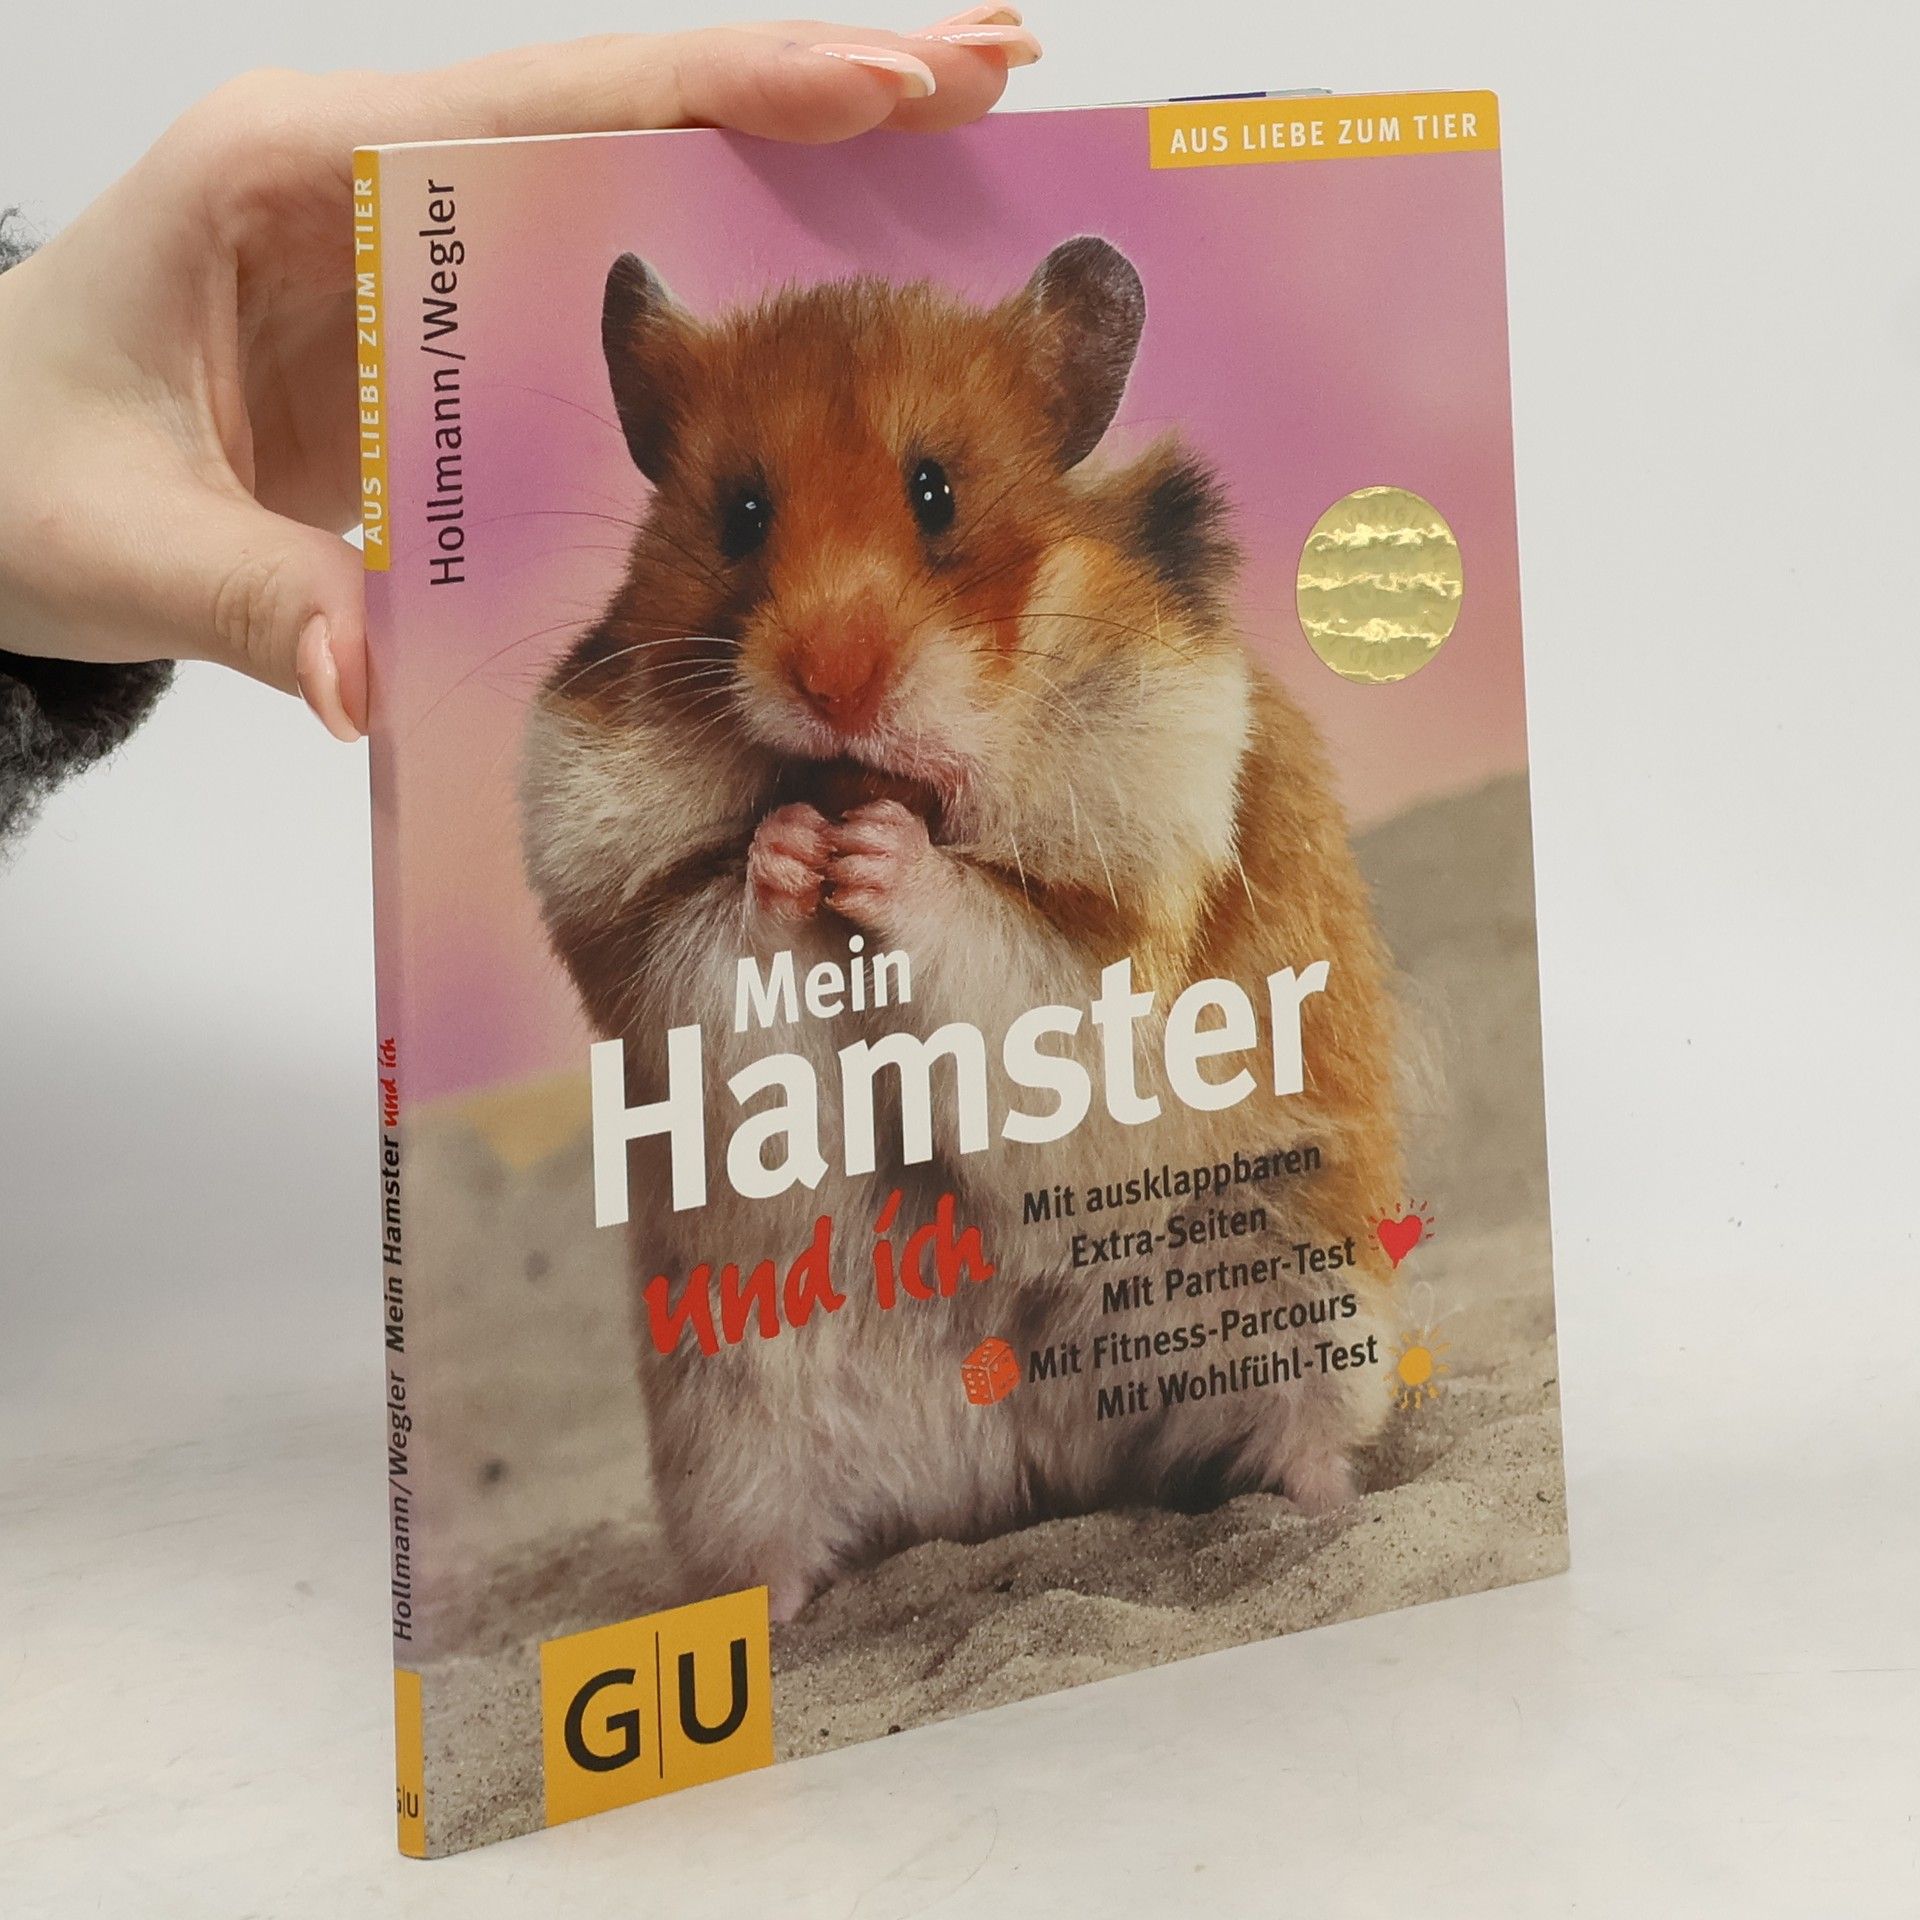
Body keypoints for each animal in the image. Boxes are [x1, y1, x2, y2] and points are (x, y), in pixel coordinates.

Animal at [521, 237, 1402, 1621]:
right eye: (740, 515)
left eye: (934, 493)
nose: (834, 684)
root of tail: (1028, 1489)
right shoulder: (632, 929)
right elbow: (725, 923)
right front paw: (792, 847)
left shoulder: (1113, 932)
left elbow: (990, 927)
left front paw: (878, 851)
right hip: (729, 1433)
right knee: (773, 1554)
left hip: (1293, 1292)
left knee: (1303, 1442)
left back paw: (1326, 1522)